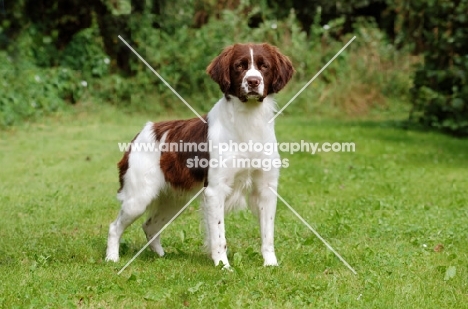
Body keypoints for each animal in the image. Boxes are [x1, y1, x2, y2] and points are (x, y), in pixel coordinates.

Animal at [108, 43, 294, 268]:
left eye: (264, 66)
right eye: (239, 66)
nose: (253, 81)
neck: (249, 121)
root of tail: (143, 131)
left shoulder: (266, 188)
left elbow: (268, 234)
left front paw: (271, 264)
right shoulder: (215, 190)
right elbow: (219, 236)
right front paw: (223, 266)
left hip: (174, 200)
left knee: (149, 226)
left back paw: (161, 256)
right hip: (139, 198)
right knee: (115, 227)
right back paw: (112, 258)